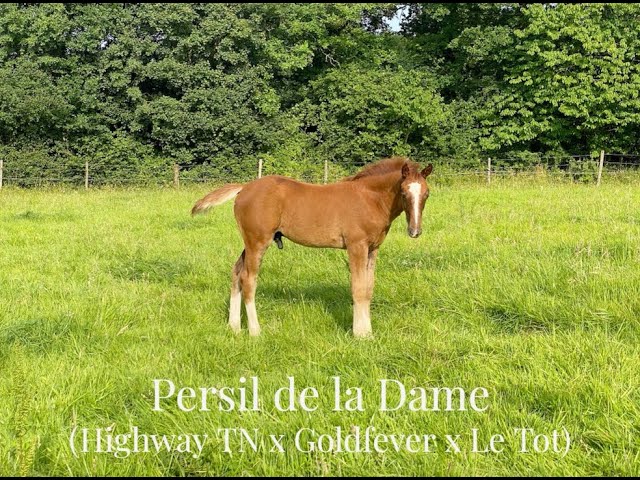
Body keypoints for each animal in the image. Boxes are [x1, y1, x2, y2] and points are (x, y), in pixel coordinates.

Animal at [191, 157, 433, 338]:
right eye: (404, 192)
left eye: (426, 194)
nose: (415, 231)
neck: (370, 199)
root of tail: (243, 189)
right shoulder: (356, 246)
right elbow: (358, 288)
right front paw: (360, 334)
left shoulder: (372, 249)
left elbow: (368, 289)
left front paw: (368, 332)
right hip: (257, 241)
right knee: (248, 279)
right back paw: (255, 331)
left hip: (249, 243)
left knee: (236, 272)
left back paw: (234, 327)